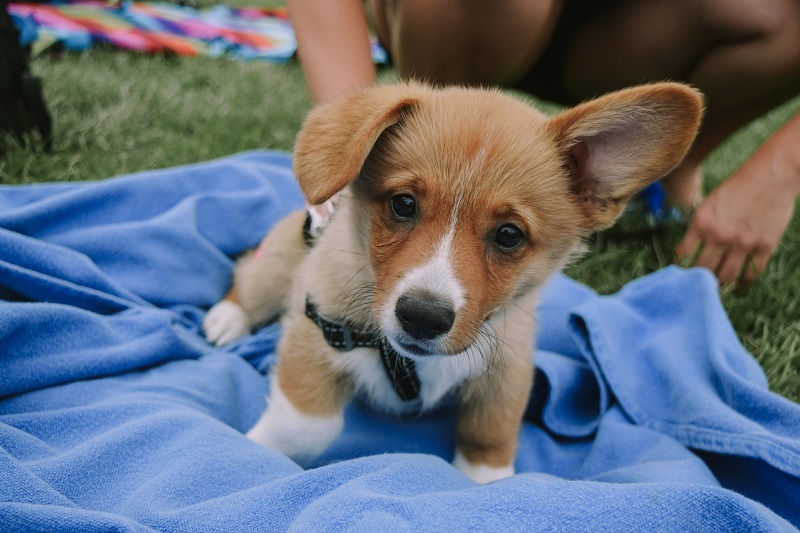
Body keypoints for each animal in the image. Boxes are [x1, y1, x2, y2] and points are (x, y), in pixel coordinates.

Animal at [205, 81, 700, 484]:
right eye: (403, 204)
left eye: (509, 235)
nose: (423, 317)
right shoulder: (317, 331)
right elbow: (305, 427)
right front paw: (255, 451)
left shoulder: (507, 368)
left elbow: (490, 436)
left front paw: (484, 483)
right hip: (276, 268)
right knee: (246, 275)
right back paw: (225, 320)